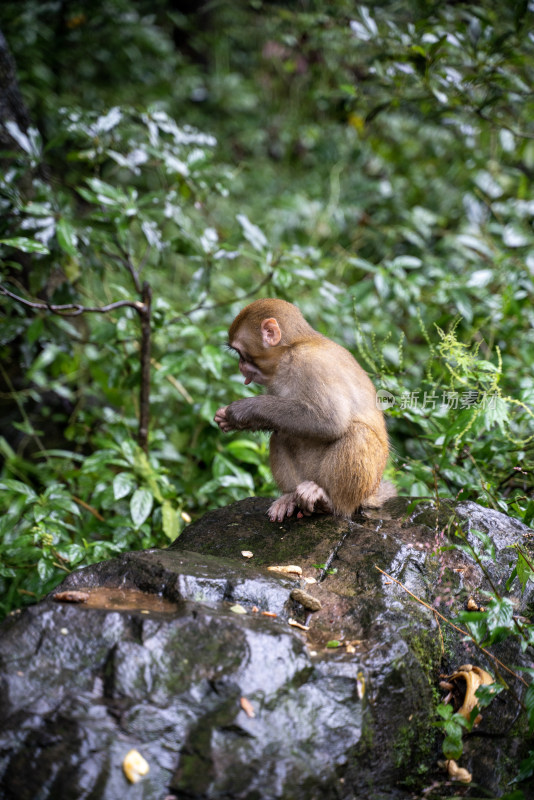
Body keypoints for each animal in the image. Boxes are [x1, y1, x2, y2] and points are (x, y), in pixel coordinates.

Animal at [216, 296, 396, 520]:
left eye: (241, 353)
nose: (240, 366)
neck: (291, 348)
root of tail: (370, 494)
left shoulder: (312, 363)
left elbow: (332, 421)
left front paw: (245, 409)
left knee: (357, 433)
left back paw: (329, 501)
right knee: (281, 433)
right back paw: (290, 497)